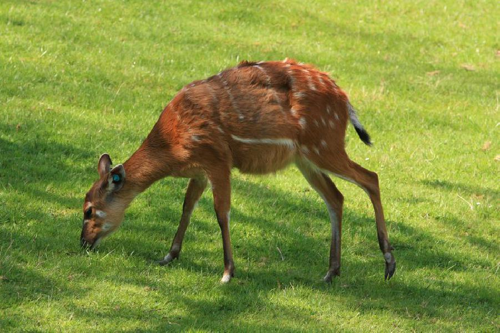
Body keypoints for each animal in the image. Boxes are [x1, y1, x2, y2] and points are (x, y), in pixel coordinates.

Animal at [81, 58, 394, 282]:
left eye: (89, 210)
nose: (84, 242)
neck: (174, 144)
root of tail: (345, 100)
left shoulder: (218, 159)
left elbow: (222, 212)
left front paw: (228, 272)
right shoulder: (199, 170)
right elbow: (187, 206)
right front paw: (168, 256)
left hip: (324, 144)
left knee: (371, 178)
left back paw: (389, 263)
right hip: (305, 159)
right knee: (336, 197)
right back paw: (331, 271)